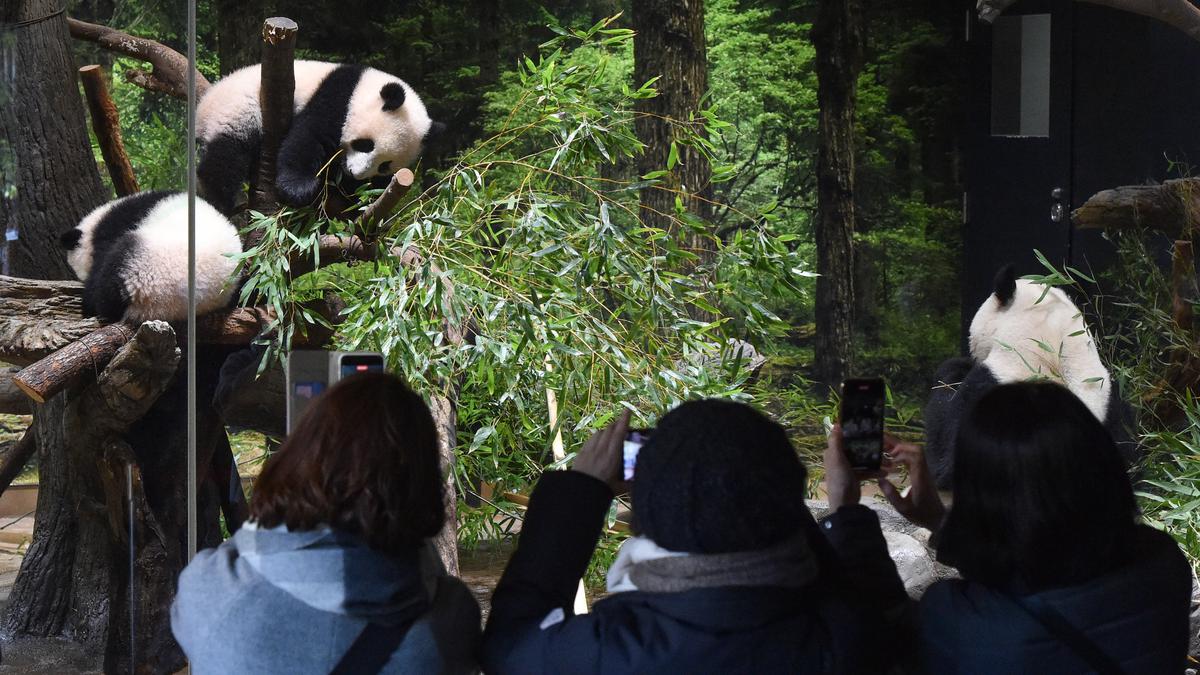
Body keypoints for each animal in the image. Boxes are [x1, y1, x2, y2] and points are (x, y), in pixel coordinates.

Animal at [196, 60, 441, 215]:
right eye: (366, 145)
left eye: (385, 165)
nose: (355, 172)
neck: (364, 88)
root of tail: (203, 104)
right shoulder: (336, 97)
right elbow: (309, 137)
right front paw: (298, 189)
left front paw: (356, 200)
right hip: (238, 110)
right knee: (226, 156)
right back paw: (219, 201)